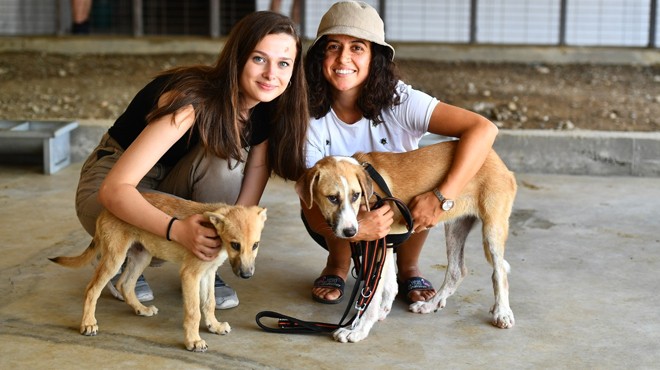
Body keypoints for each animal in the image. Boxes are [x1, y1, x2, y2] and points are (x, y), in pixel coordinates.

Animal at [50, 192, 268, 352]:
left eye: (255, 245)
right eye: (235, 245)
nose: (247, 275)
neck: (214, 232)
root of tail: (105, 210)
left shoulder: (208, 272)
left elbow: (209, 303)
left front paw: (214, 326)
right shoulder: (190, 274)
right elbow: (193, 311)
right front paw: (193, 340)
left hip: (141, 255)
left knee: (125, 284)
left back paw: (141, 309)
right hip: (115, 258)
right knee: (92, 289)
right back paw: (88, 323)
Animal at [296, 140, 520, 342]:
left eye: (355, 195)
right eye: (332, 198)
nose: (350, 232)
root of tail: (495, 157)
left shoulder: (379, 242)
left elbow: (371, 294)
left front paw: (359, 329)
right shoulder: (384, 242)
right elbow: (388, 285)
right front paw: (380, 313)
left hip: (492, 228)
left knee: (499, 271)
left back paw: (502, 312)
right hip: (455, 227)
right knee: (457, 271)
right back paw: (430, 304)